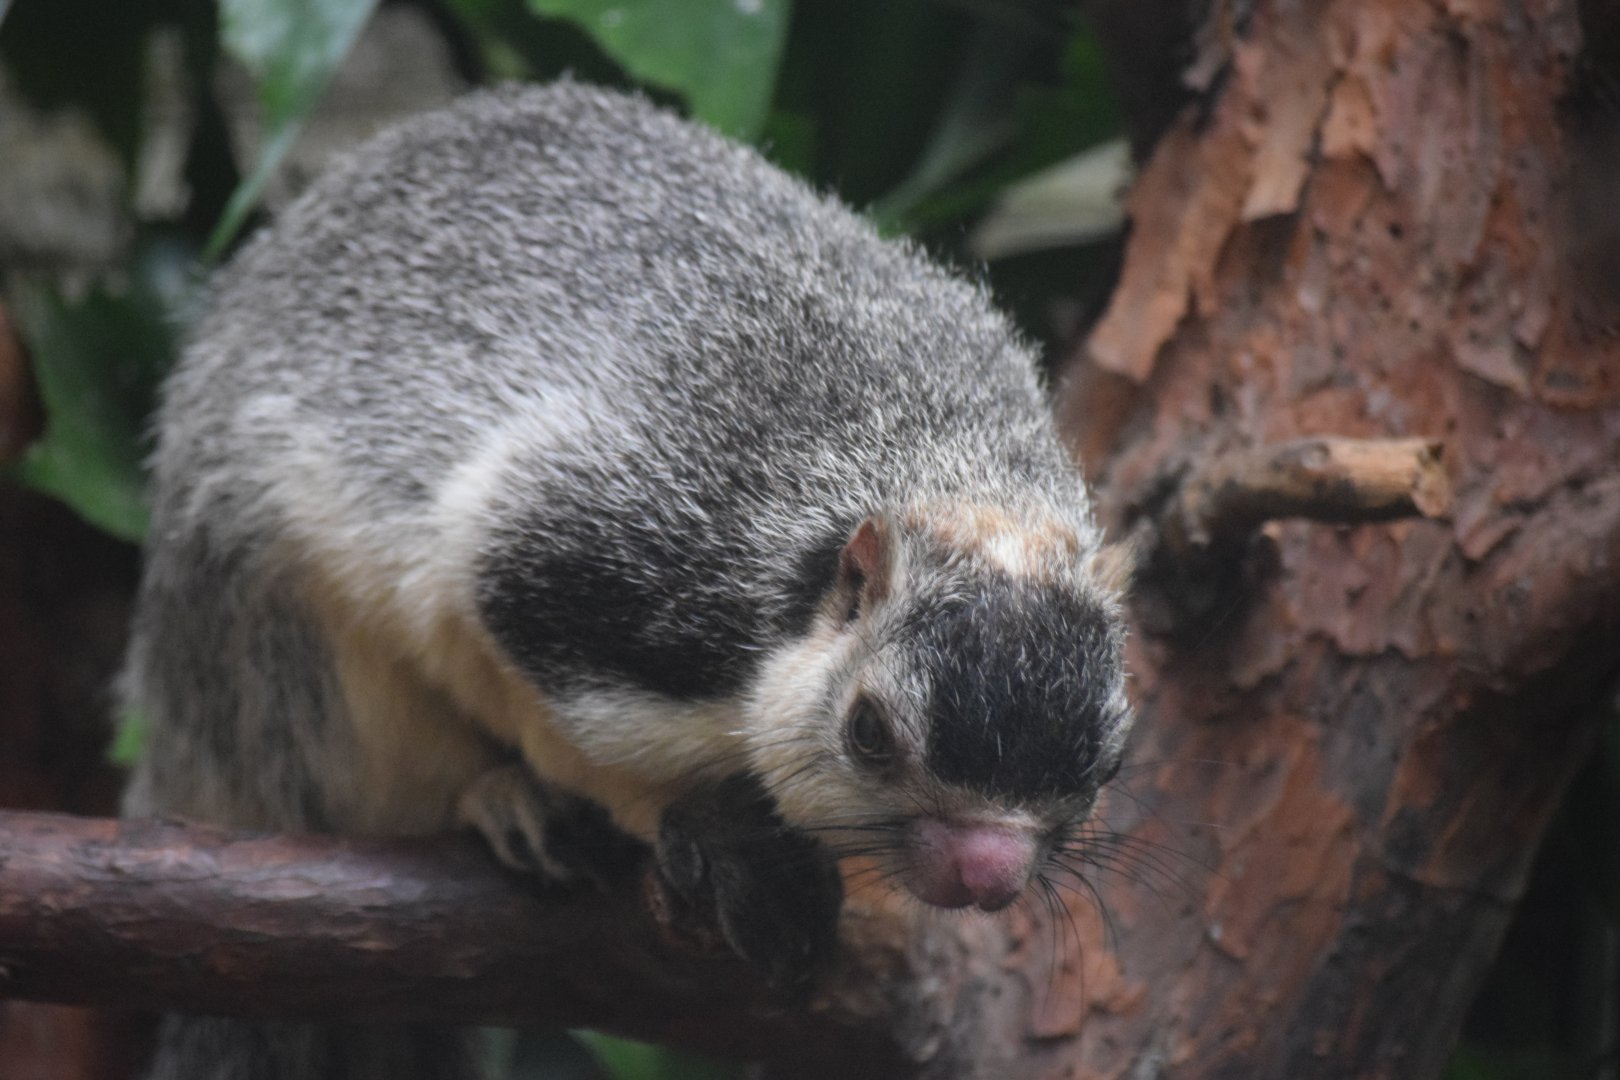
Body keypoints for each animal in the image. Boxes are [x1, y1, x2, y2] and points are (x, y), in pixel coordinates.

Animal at [121, 82, 1134, 1079]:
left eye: (1110, 764)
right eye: (869, 734)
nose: (986, 871)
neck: (936, 468)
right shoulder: (581, 554)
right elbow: (587, 731)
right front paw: (732, 845)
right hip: (298, 656)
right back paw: (506, 799)